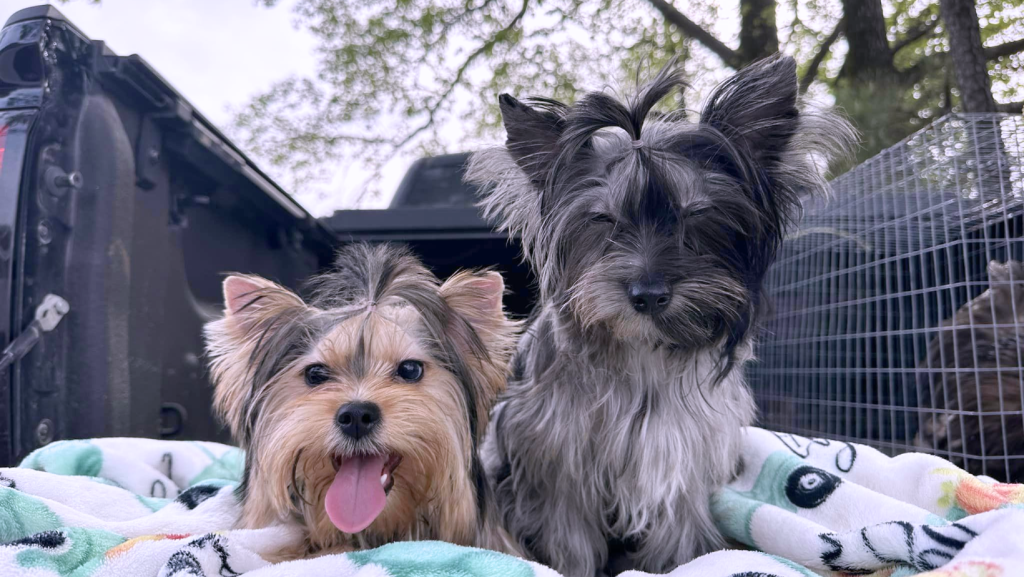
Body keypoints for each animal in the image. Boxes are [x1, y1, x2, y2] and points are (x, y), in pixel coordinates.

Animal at [464, 55, 856, 577]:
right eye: (601, 219)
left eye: (697, 213)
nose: (648, 294)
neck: (643, 351)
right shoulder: (557, 462)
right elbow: (568, 537)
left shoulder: (680, 461)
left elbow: (679, 531)